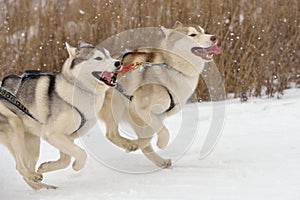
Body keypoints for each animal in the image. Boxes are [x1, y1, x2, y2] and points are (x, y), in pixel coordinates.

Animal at [0, 41, 119, 189]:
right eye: (98, 58)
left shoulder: (68, 137)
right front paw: (77, 166)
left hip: (33, 142)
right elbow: (81, 153)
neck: (81, 90)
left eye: (109, 55)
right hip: (15, 125)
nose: (118, 63)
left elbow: (66, 159)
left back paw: (43, 186)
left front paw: (46, 167)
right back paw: (34, 177)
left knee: (28, 168)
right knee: (20, 166)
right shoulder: (52, 134)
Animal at [97, 21, 221, 167]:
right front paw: (161, 143)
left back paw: (154, 157)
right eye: (192, 34)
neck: (174, 68)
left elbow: (152, 133)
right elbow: (164, 131)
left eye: (204, 31)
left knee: (142, 142)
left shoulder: (155, 114)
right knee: (111, 134)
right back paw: (131, 145)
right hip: (115, 105)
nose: (214, 37)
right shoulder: (141, 108)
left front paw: (142, 143)